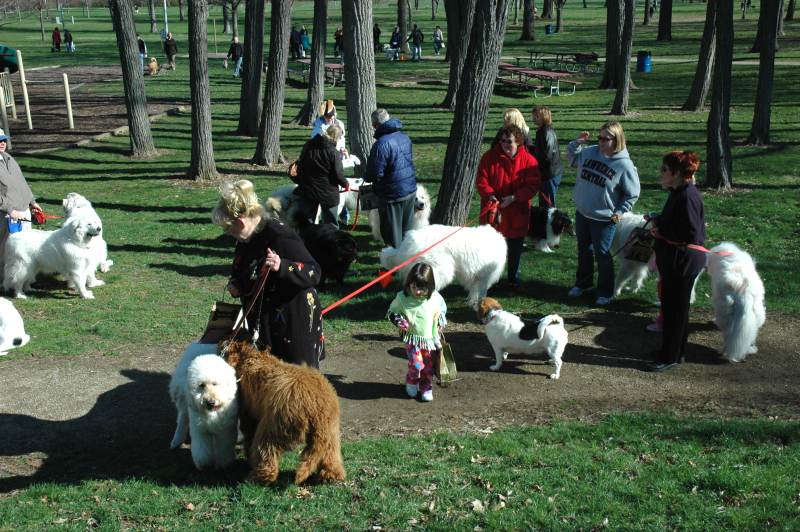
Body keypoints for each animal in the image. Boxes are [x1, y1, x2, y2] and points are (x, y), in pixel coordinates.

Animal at [168, 340, 238, 470]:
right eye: (201, 385)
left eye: (215, 384)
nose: (210, 401)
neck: (211, 412)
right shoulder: (200, 430)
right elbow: (202, 450)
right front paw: (204, 464)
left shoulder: (224, 431)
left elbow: (224, 448)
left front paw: (223, 463)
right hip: (183, 398)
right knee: (182, 420)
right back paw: (176, 441)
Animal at [222, 340, 344, 486]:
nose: (221, 342)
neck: (248, 359)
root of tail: (318, 411)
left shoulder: (248, 401)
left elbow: (249, 425)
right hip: (331, 429)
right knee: (331, 451)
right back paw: (331, 475)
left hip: (278, 421)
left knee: (266, 447)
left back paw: (255, 477)